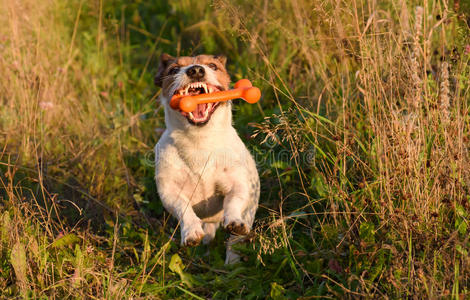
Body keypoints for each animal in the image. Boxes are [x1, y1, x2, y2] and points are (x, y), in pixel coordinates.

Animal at [153, 53, 258, 262]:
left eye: (213, 65)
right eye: (174, 70)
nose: (195, 70)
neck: (198, 142)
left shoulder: (238, 184)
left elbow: (234, 201)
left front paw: (234, 220)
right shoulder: (169, 190)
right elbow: (183, 207)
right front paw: (191, 232)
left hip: (249, 212)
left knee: (234, 242)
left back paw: (231, 262)